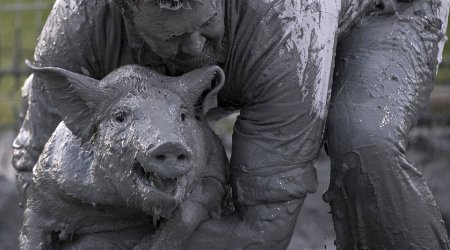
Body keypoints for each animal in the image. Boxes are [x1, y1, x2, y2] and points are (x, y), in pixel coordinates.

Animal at [19, 62, 230, 248]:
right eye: (120, 117)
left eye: (183, 116)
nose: (169, 144)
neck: (124, 209)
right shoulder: (44, 183)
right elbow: (32, 229)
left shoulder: (216, 172)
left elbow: (188, 211)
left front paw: (144, 246)